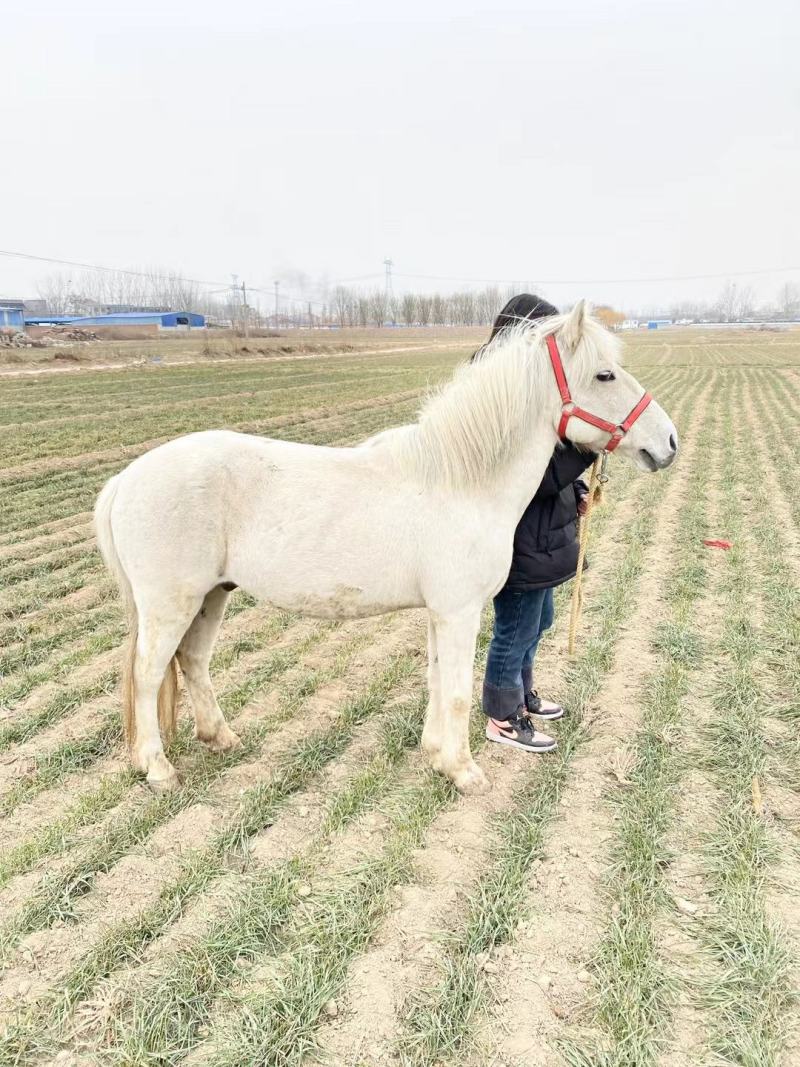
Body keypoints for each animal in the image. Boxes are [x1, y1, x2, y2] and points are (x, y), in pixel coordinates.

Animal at [94, 301, 677, 795]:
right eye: (604, 374)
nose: (668, 442)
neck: (461, 482)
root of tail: (126, 478)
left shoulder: (440, 612)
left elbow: (437, 680)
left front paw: (437, 754)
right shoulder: (460, 611)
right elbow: (458, 690)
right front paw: (465, 772)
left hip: (212, 595)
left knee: (192, 662)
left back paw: (220, 738)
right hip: (171, 603)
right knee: (148, 674)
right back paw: (158, 770)